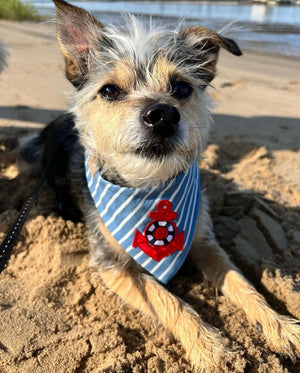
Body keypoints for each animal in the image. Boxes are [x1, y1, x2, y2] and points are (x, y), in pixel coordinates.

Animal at [20, 1, 298, 370]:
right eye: (109, 90)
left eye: (182, 88)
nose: (163, 114)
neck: (149, 187)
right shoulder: (112, 265)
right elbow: (167, 298)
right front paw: (210, 347)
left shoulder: (204, 242)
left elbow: (241, 282)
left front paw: (279, 325)